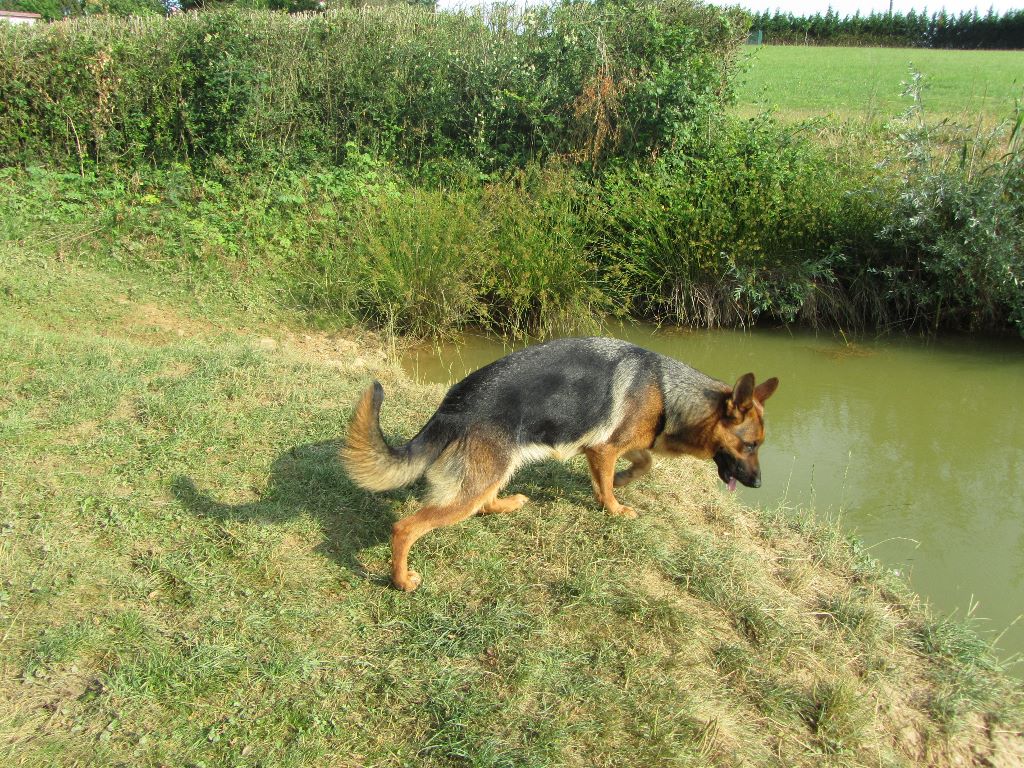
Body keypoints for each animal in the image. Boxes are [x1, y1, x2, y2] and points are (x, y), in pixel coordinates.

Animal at [342, 333, 774, 593]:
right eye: (750, 445)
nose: (758, 485)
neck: (668, 391)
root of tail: (453, 404)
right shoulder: (602, 449)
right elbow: (610, 484)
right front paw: (614, 505)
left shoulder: (619, 443)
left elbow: (643, 462)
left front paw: (625, 479)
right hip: (471, 487)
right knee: (405, 527)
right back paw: (401, 580)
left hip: (496, 469)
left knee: (485, 501)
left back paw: (508, 504)